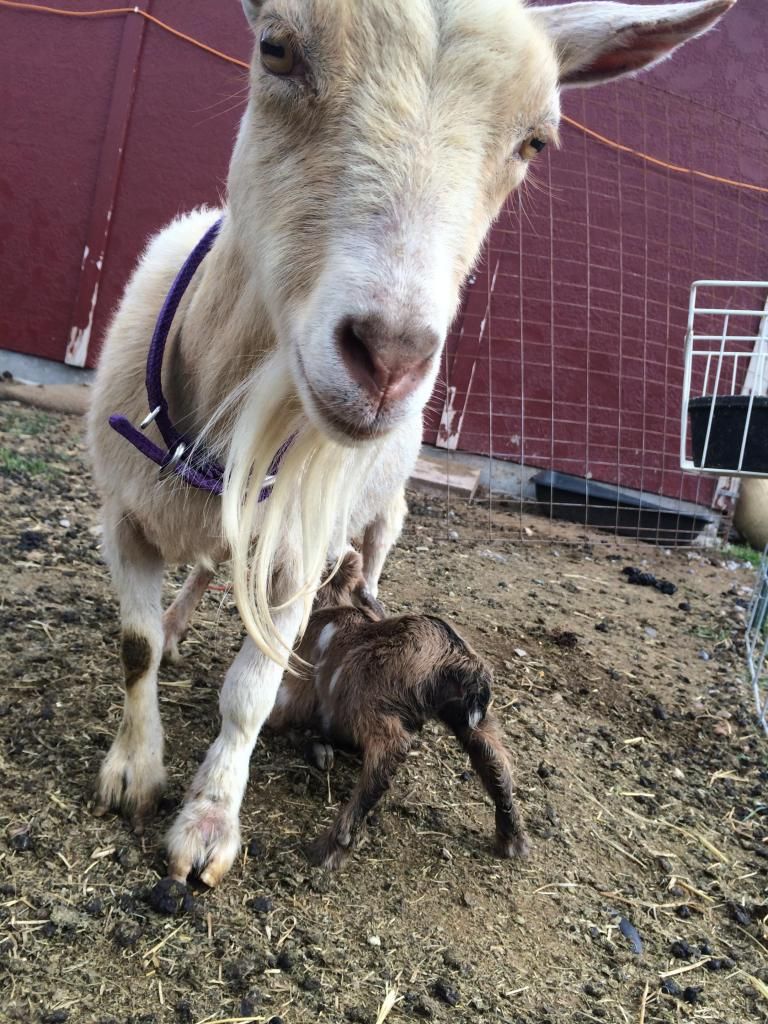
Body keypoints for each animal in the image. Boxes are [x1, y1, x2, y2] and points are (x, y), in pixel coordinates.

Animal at [266, 551, 529, 869]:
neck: (333, 607)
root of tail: (454, 658)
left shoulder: (295, 689)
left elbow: (281, 721)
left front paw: (317, 749)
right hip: (472, 720)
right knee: (495, 762)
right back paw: (512, 839)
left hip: (369, 700)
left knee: (391, 748)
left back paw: (332, 845)